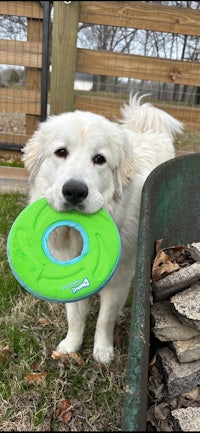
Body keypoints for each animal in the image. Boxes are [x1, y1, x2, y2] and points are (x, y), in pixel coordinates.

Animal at [21, 93, 183, 362]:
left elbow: (104, 319)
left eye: (99, 159)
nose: (74, 191)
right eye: (61, 152)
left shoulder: (118, 279)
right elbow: (75, 315)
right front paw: (71, 345)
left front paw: (103, 351)